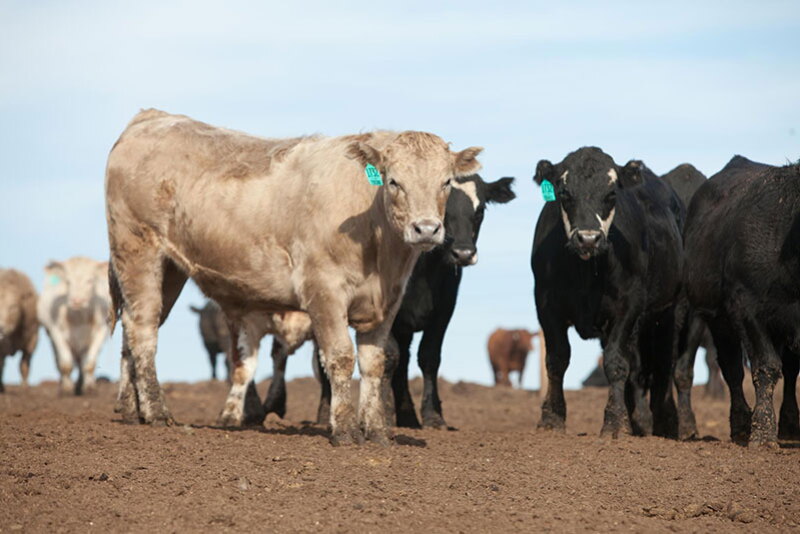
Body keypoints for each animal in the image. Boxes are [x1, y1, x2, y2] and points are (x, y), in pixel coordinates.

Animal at [38, 257, 110, 395]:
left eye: (90, 280)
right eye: (68, 281)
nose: (77, 301)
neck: (78, 317)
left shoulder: (101, 331)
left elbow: (90, 363)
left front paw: (89, 388)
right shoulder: (56, 331)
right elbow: (66, 364)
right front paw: (66, 389)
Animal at [105, 109, 483, 446]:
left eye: (445, 182)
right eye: (393, 181)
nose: (426, 229)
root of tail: (151, 117)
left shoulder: (387, 302)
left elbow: (375, 362)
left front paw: (376, 432)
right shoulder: (324, 291)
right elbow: (340, 357)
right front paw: (345, 431)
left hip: (169, 270)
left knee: (133, 326)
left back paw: (131, 410)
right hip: (138, 252)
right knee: (144, 331)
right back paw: (156, 412)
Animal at [531, 147, 685, 438]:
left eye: (611, 193)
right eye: (564, 192)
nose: (588, 238)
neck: (586, 273)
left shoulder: (629, 306)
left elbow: (616, 362)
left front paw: (615, 423)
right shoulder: (545, 304)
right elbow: (557, 359)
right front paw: (552, 418)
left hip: (670, 311)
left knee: (661, 364)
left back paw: (663, 423)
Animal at [684, 155, 800, 446]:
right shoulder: (748, 308)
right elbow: (765, 366)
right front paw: (762, 433)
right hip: (719, 319)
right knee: (732, 369)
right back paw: (740, 425)